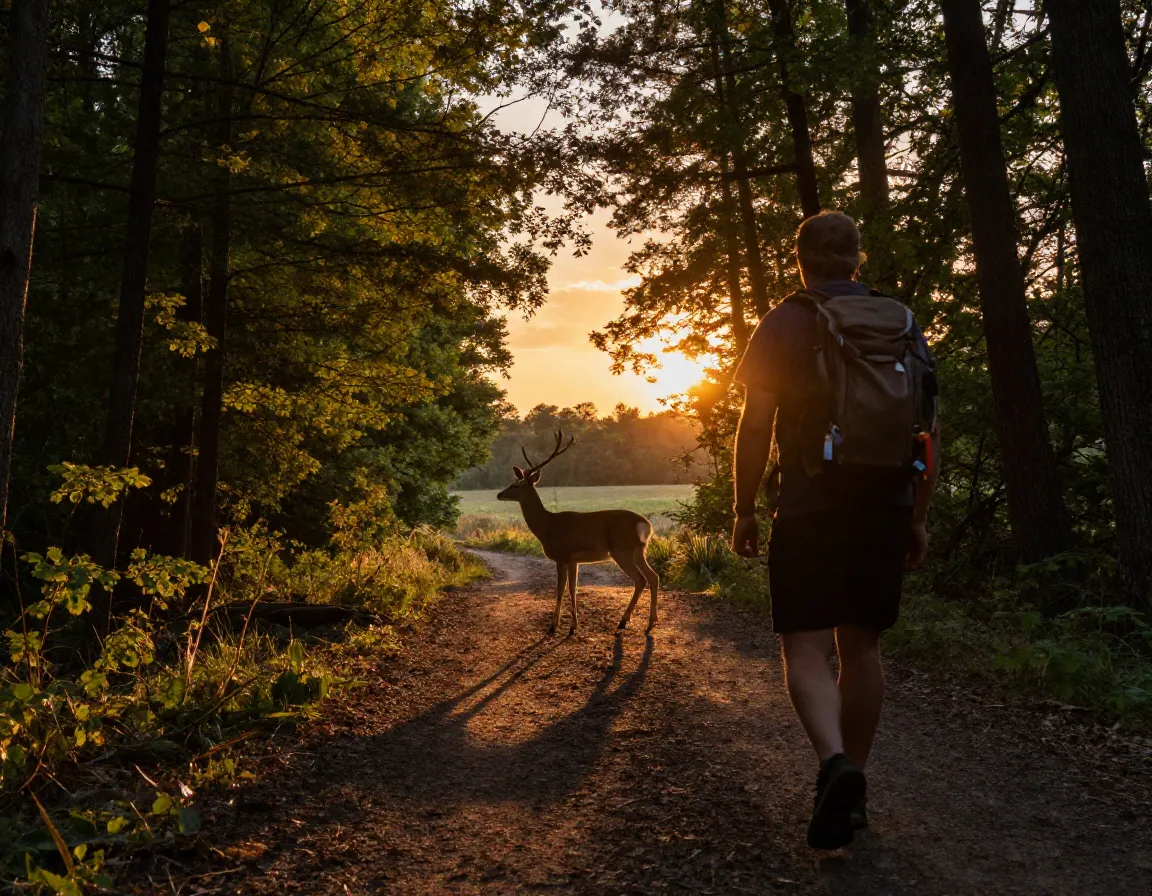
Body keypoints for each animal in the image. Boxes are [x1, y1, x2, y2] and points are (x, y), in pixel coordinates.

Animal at [495, 429, 660, 637]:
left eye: (516, 485)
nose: (499, 494)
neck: (546, 526)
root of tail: (645, 523)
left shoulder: (562, 555)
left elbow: (560, 589)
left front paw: (555, 626)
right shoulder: (574, 559)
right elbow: (573, 588)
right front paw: (573, 626)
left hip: (621, 549)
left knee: (640, 580)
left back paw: (625, 621)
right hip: (638, 550)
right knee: (653, 577)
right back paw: (649, 622)